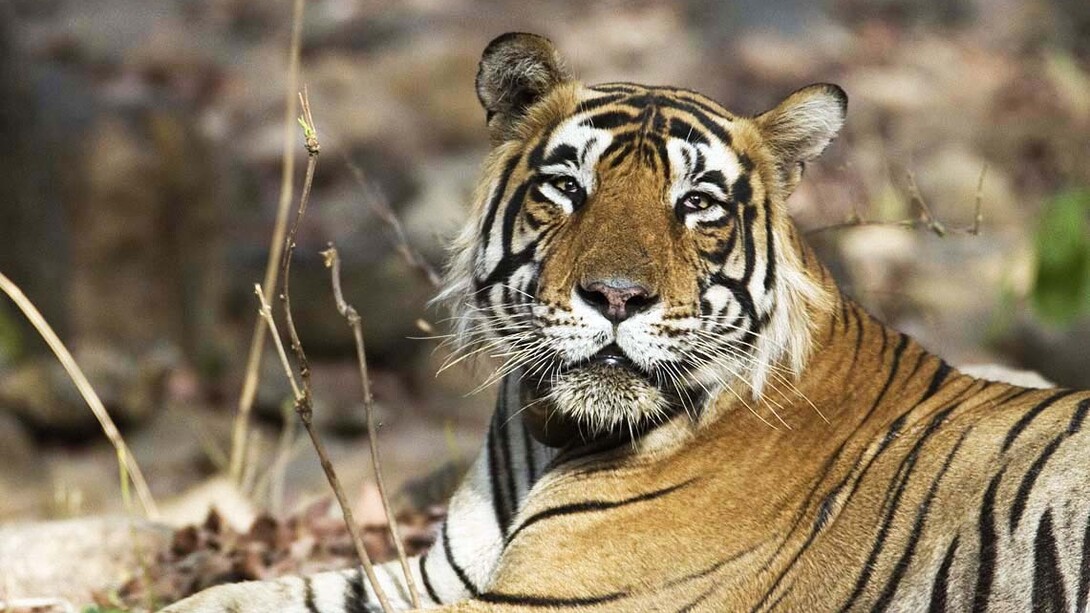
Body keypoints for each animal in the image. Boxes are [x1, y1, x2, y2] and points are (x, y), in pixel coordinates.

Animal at [162, 32, 1090, 612]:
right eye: (568, 187)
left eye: (698, 203)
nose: (615, 297)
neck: (551, 436)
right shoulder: (438, 573)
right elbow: (235, 594)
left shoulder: (548, 597)